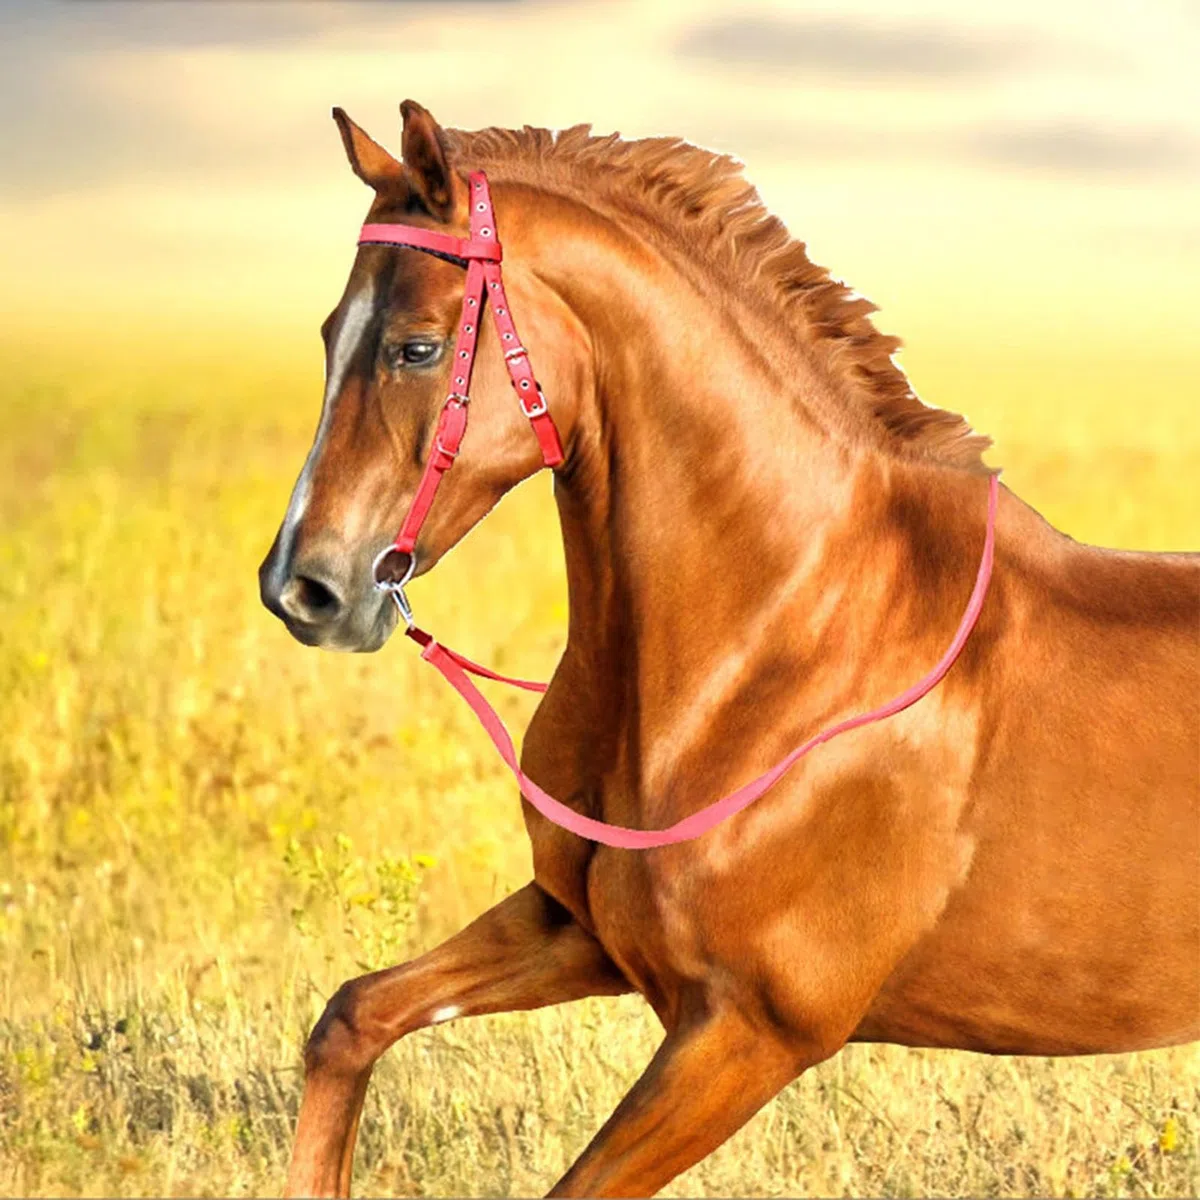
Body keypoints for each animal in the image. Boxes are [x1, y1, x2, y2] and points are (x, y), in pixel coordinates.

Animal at [258, 100, 1200, 1197]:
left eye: (415, 347)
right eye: (333, 334)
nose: (303, 587)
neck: (788, 641)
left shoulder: (751, 1033)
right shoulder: (579, 930)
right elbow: (350, 1017)